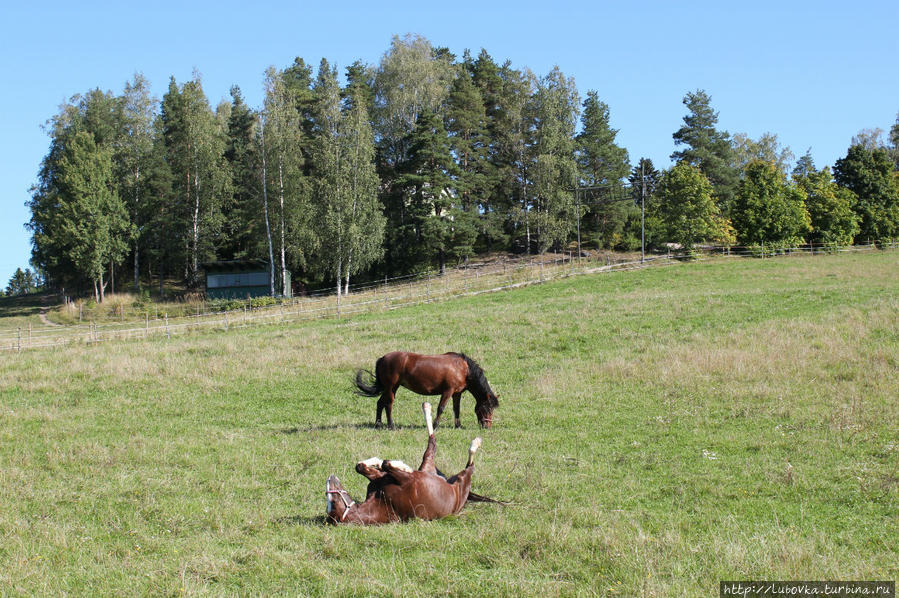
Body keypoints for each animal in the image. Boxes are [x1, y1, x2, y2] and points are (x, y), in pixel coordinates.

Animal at [328, 406, 486, 528]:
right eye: (333, 502)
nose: (330, 478)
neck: (382, 503)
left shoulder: (379, 478)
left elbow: (361, 466)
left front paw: (377, 462)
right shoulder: (408, 481)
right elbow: (386, 464)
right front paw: (403, 466)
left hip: (428, 467)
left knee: (432, 440)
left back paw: (427, 408)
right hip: (460, 479)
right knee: (463, 461)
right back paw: (475, 443)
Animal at [354, 352, 500, 432]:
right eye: (487, 408)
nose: (487, 426)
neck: (463, 368)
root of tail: (383, 358)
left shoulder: (456, 393)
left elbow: (456, 409)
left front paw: (458, 425)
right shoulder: (448, 391)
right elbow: (441, 408)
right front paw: (434, 426)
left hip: (390, 388)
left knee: (380, 403)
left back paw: (378, 424)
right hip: (391, 387)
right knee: (388, 405)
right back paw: (391, 425)